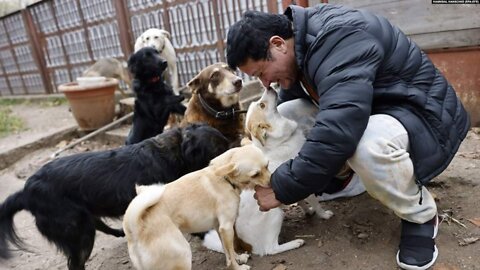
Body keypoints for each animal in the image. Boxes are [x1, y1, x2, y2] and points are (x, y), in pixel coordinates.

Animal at [0, 123, 229, 270]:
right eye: (220, 149)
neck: (175, 151)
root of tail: (25, 191)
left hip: (83, 221)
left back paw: (119, 232)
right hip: (79, 233)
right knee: (75, 264)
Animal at [122, 143, 272, 270]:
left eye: (267, 166)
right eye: (255, 174)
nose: (272, 182)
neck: (224, 179)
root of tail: (135, 229)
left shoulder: (220, 228)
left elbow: (228, 251)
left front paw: (238, 257)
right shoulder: (227, 227)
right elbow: (230, 255)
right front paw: (237, 267)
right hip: (183, 254)